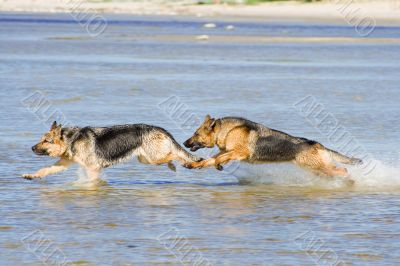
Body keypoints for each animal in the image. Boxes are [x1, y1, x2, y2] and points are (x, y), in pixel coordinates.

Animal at [23, 121, 202, 180]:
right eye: (41, 139)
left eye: (46, 141)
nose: (32, 148)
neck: (71, 140)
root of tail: (161, 129)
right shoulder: (64, 163)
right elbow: (46, 169)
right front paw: (32, 175)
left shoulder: (93, 168)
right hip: (146, 159)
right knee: (171, 155)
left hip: (153, 157)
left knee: (175, 154)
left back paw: (183, 164)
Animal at [184, 116, 362, 179]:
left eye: (196, 134)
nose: (185, 143)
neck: (226, 131)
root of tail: (317, 143)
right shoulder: (228, 152)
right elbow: (209, 160)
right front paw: (194, 164)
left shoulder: (240, 152)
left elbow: (218, 158)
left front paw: (218, 164)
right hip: (316, 168)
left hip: (317, 166)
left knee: (343, 170)